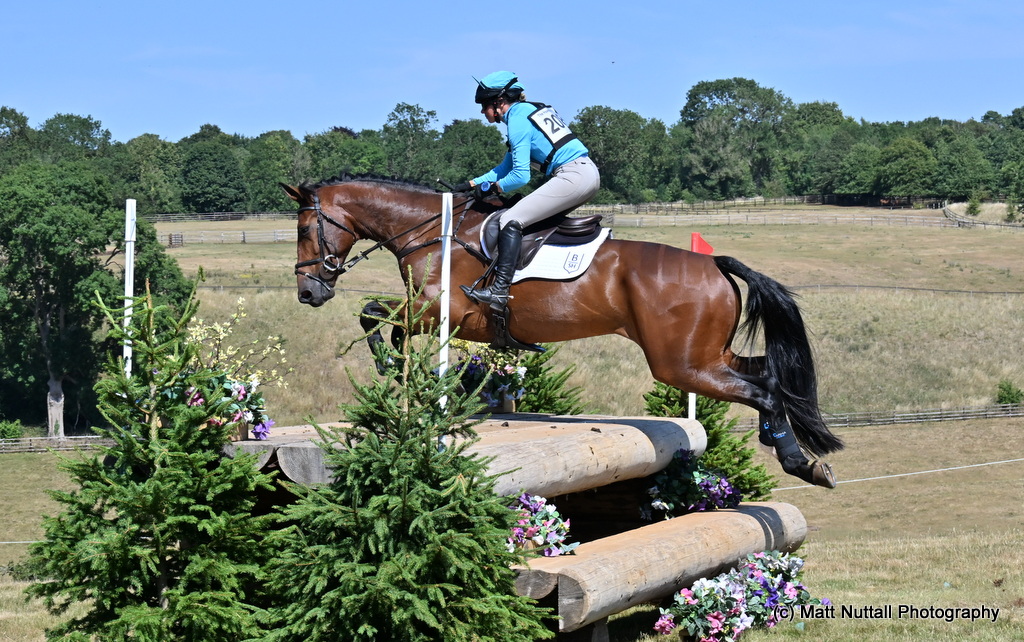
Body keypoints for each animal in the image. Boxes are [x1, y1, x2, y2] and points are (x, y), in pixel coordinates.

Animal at [282, 175, 843, 488]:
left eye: (305, 229)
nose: (308, 293)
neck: (430, 232)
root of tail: (714, 264)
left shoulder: (438, 311)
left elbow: (373, 315)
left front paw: (391, 369)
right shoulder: (426, 314)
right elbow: (379, 318)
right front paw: (401, 376)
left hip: (680, 363)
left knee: (763, 388)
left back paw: (800, 463)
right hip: (706, 356)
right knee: (769, 375)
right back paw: (789, 448)